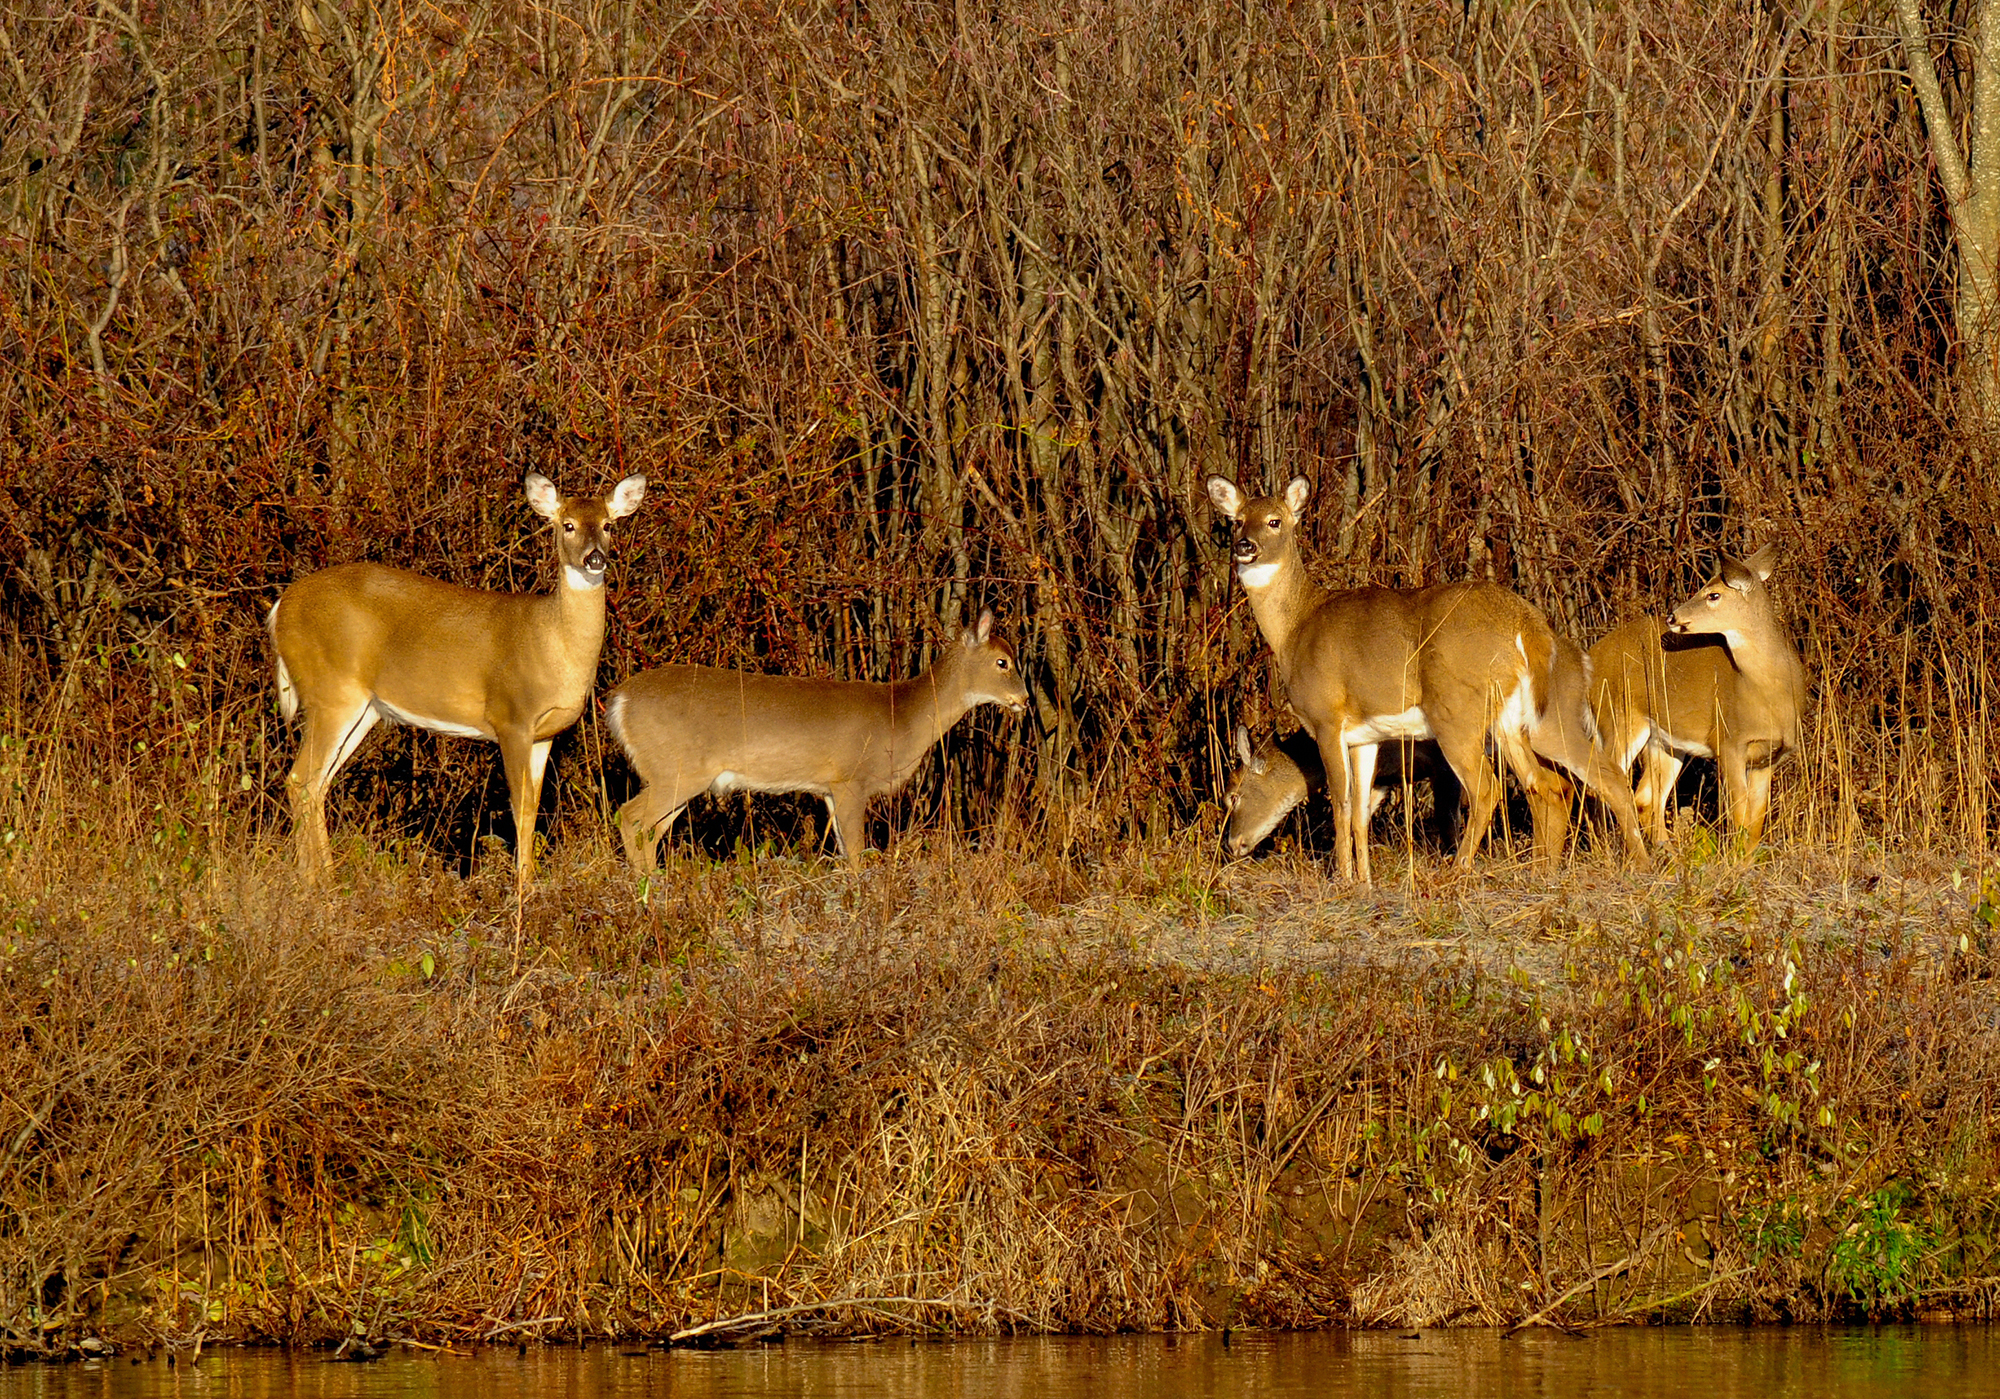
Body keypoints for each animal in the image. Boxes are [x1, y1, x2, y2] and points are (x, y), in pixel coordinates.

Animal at [268, 469, 648, 883]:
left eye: (608, 524)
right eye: (568, 525)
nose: (595, 558)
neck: (553, 644)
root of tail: (279, 608)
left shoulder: (544, 734)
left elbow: (532, 809)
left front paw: (529, 883)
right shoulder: (511, 718)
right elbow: (518, 806)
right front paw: (522, 888)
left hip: (364, 709)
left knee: (318, 782)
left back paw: (327, 879)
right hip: (331, 692)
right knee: (300, 779)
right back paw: (315, 882)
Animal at [608, 607, 1032, 867]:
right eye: (1003, 662)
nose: (1025, 699)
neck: (901, 717)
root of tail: (620, 701)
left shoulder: (828, 788)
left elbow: (845, 852)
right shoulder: (850, 779)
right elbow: (857, 856)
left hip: (676, 776)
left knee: (650, 830)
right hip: (674, 770)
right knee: (629, 817)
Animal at [1208, 727, 1464, 859]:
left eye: (1232, 797)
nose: (1232, 844)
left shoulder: (1442, 762)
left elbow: (1448, 821)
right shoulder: (1381, 780)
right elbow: (1356, 818)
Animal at [1592, 543, 1816, 847]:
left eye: (1713, 594)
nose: (1672, 617)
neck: (1768, 694)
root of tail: (1591, 656)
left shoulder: (1769, 756)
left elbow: (1755, 822)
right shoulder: (1728, 741)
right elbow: (1740, 816)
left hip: (1663, 741)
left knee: (1645, 797)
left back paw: (1667, 851)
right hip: (1618, 717)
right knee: (1602, 785)